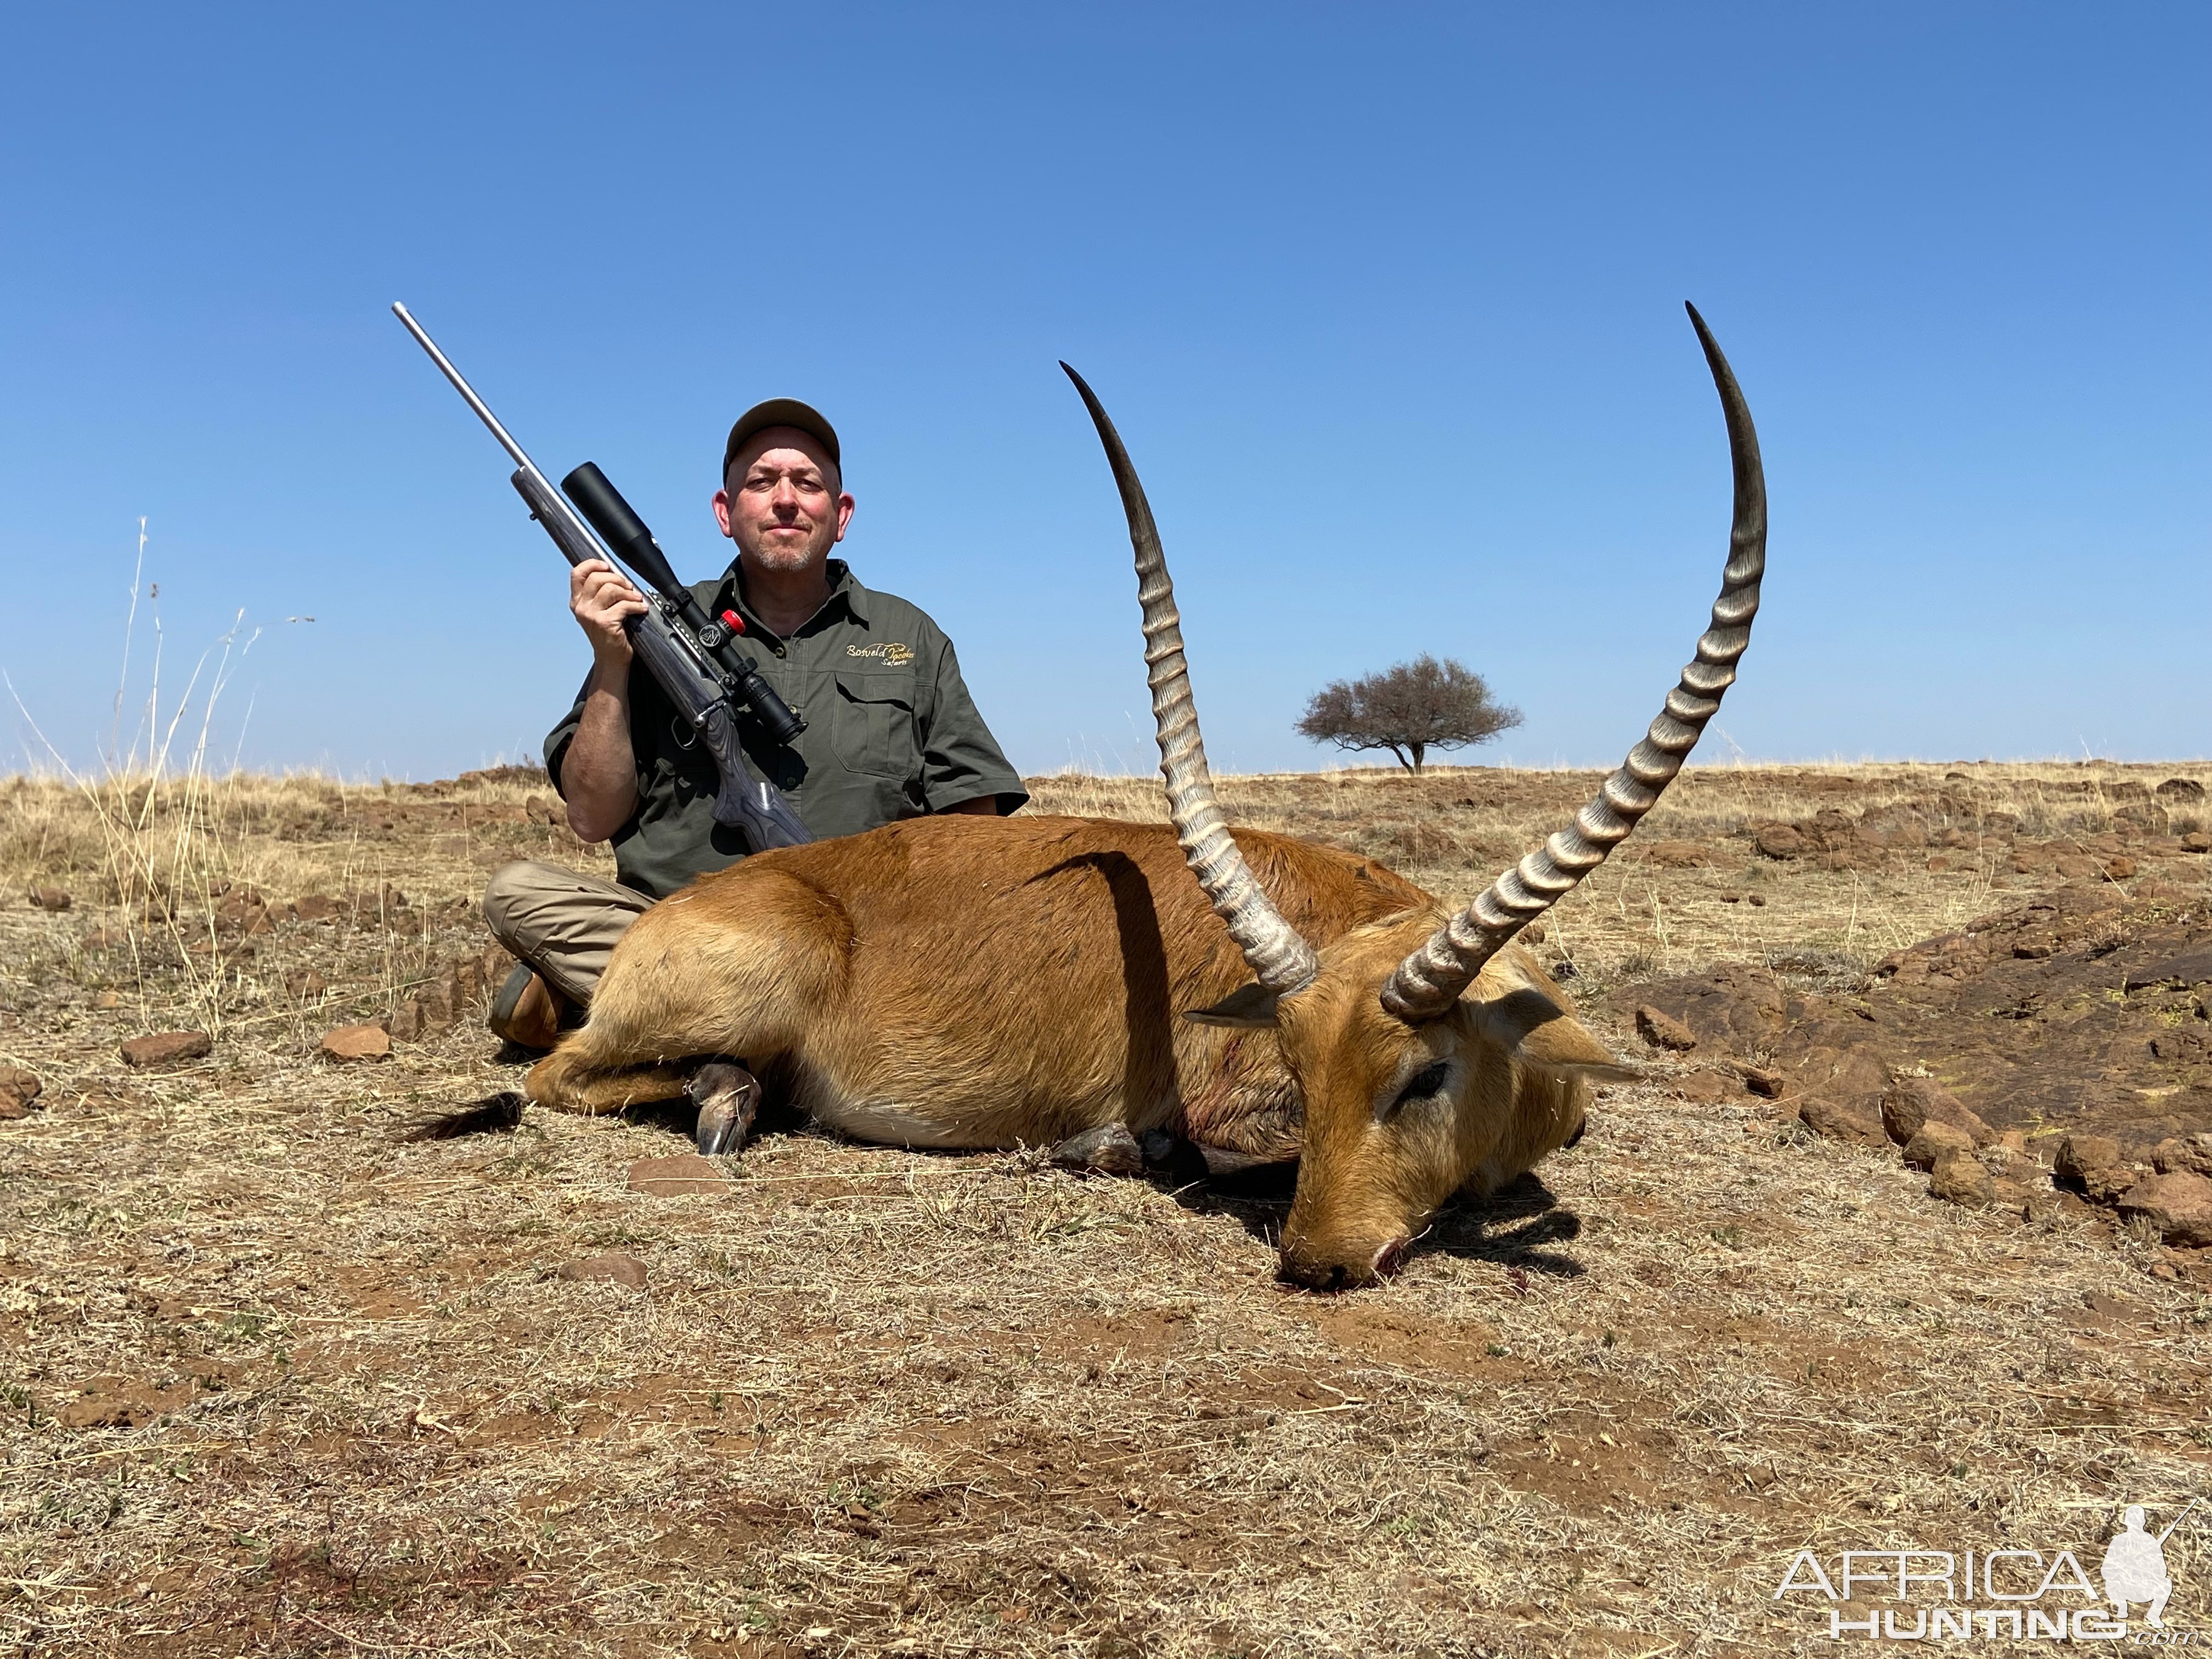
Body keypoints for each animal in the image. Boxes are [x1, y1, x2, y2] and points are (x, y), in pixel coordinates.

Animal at [531, 305, 1760, 1291]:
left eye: (1425, 1074)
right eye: (1303, 1071)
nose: (1316, 1261)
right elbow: (1205, 1153)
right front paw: (1114, 1149)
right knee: (556, 1077)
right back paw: (726, 1101)